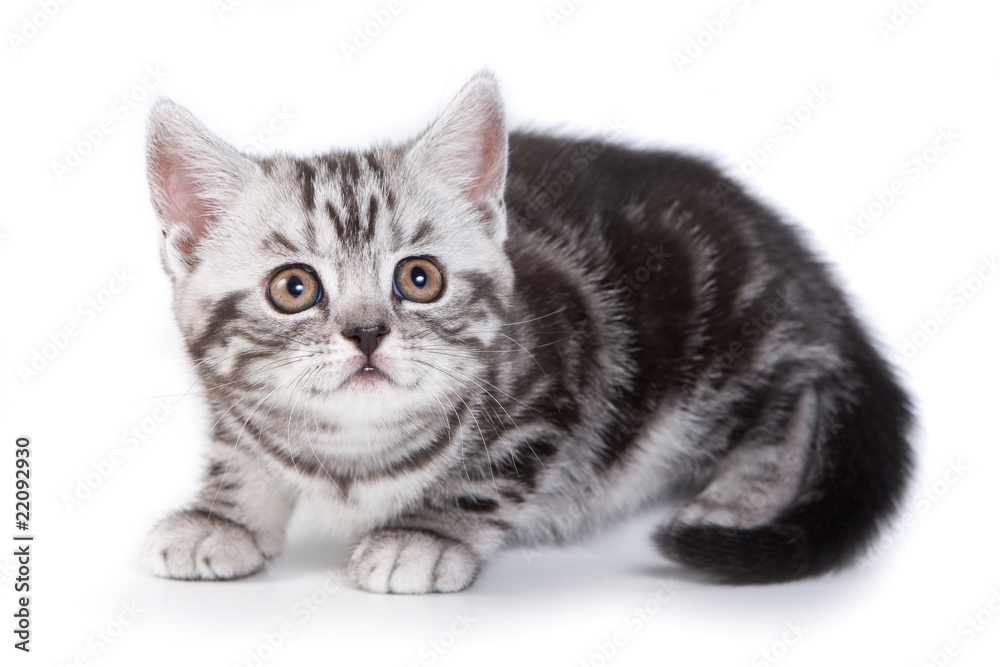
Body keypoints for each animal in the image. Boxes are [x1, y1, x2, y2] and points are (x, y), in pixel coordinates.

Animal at [143, 74, 916, 596]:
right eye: (294, 288)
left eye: (419, 278)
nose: (366, 332)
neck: (351, 453)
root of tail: (798, 258)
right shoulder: (234, 406)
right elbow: (237, 450)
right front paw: (223, 515)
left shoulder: (566, 368)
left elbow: (486, 474)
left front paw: (424, 534)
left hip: (726, 336)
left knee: (797, 396)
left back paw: (736, 499)